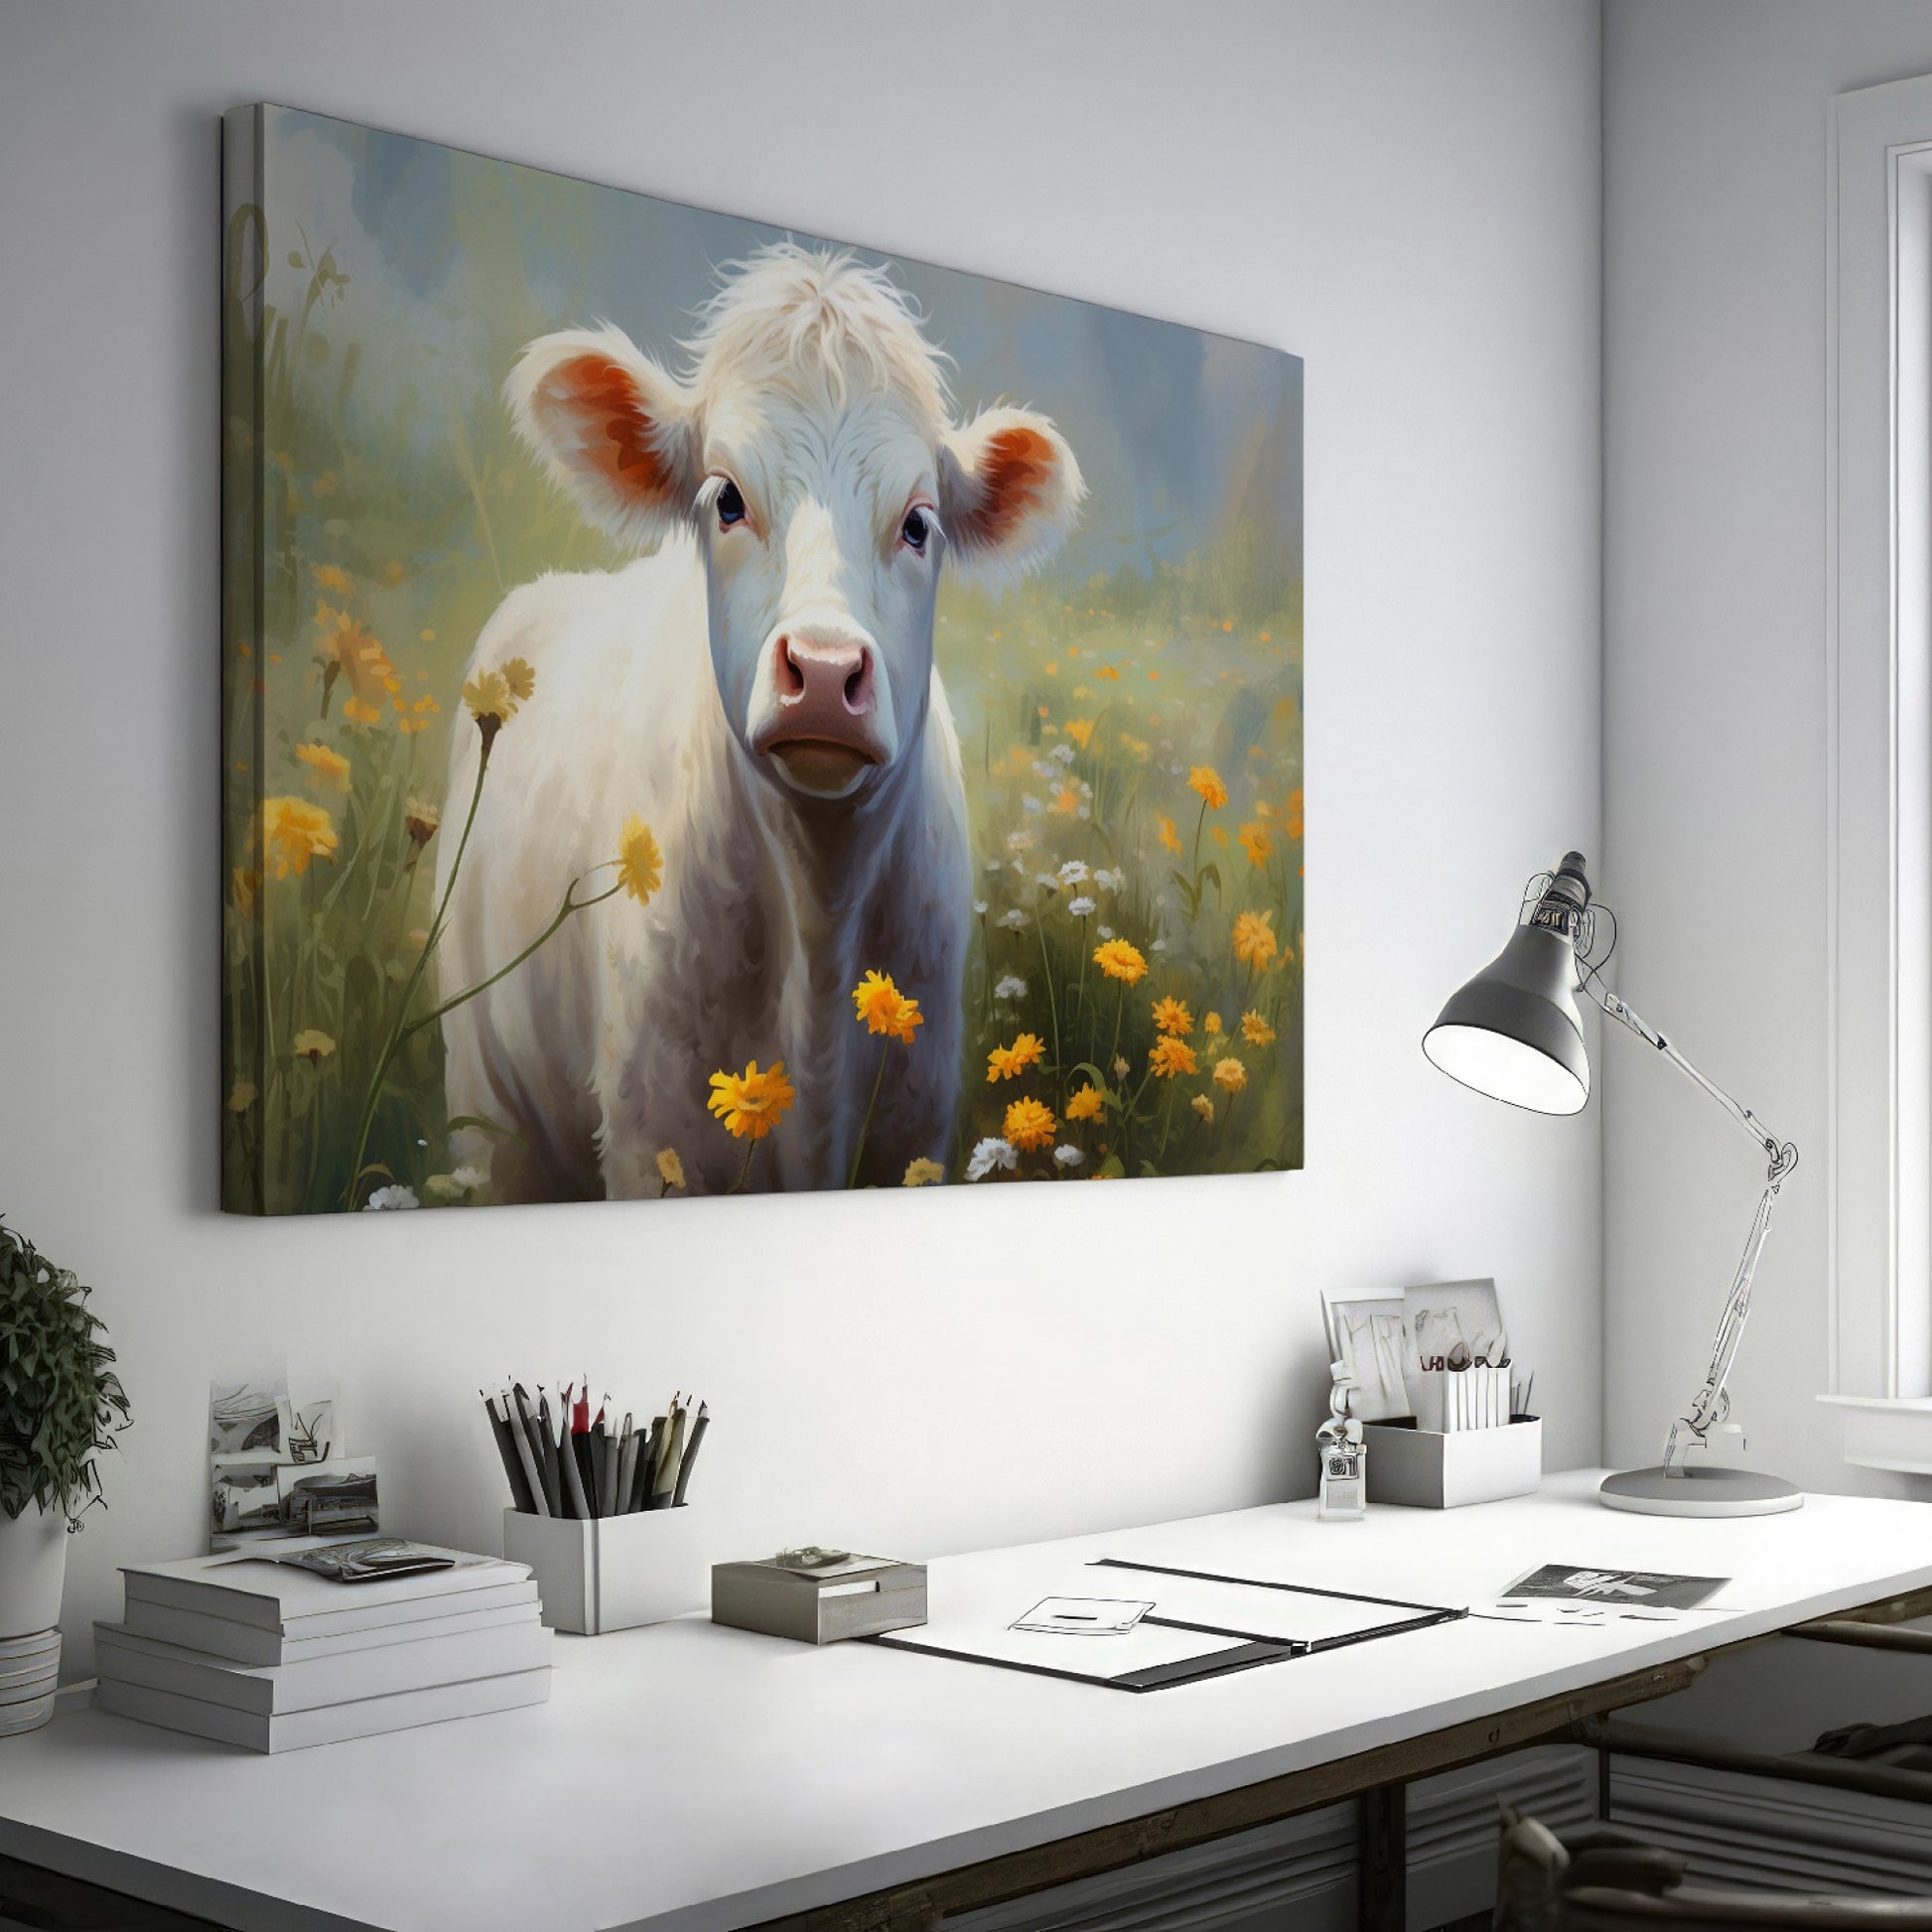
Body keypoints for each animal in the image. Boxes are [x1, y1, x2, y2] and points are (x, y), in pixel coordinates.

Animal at [436, 249, 1089, 1197]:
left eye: (919, 521)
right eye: (726, 499)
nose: (821, 672)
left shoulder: (917, 1127)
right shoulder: (651, 1139)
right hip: (486, 1109)